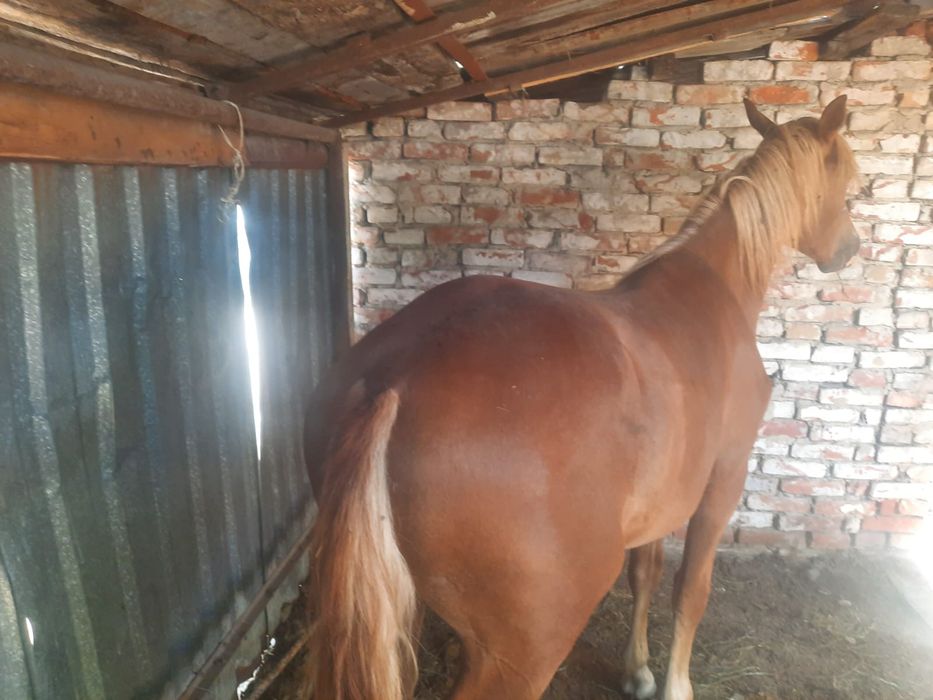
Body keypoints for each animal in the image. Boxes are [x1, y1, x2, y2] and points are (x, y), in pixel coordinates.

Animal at [301, 95, 859, 700]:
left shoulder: (660, 499)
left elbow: (645, 575)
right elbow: (690, 591)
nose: (850, 249)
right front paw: (675, 684)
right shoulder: (723, 480)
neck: (715, 285)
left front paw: (637, 670)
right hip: (524, 649)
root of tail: (394, 380)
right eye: (846, 178)